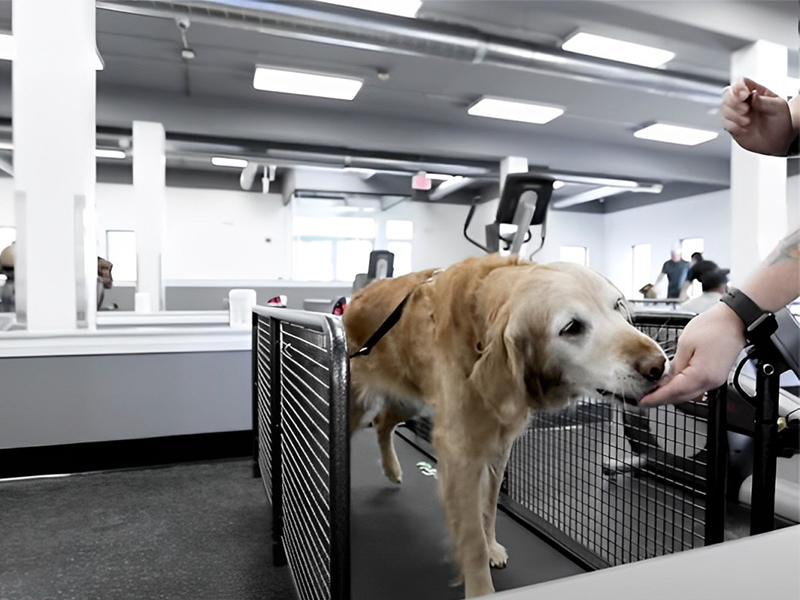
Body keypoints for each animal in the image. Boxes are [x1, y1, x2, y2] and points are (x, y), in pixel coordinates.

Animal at [340, 252, 664, 596]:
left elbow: (489, 506)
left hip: (409, 399)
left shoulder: (499, 445)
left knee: (383, 422)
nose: (658, 365)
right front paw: (481, 589)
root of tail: (358, 297)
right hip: (357, 403)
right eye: (571, 327)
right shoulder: (461, 451)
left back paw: (392, 469)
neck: (480, 334)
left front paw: (491, 546)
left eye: (617, 305)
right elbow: (470, 539)